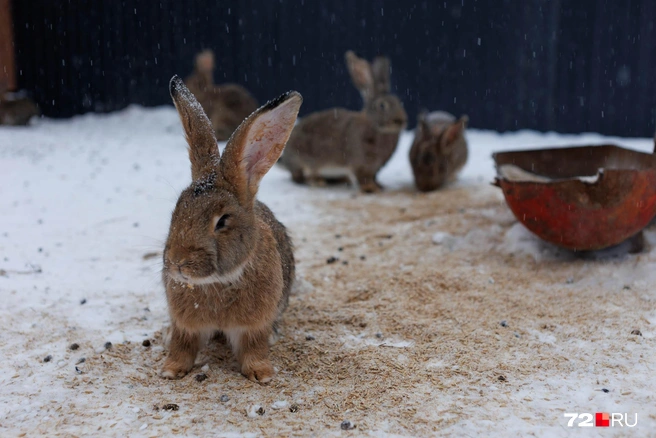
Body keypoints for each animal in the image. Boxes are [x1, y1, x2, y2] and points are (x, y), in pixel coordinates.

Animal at [161, 75, 302, 384]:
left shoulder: (254, 326)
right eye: (176, 210)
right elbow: (182, 345)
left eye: (223, 220)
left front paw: (261, 374)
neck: (217, 282)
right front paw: (171, 369)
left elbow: (254, 348)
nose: (178, 262)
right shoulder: (185, 325)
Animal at [280, 49, 408, 192]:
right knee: (300, 176)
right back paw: (317, 181)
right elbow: (364, 177)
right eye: (382, 105)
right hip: (303, 160)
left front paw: (379, 186)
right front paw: (371, 188)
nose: (401, 120)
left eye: (398, 102)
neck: (375, 127)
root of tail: (285, 159)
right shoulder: (361, 164)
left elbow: (374, 177)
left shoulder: (375, 168)